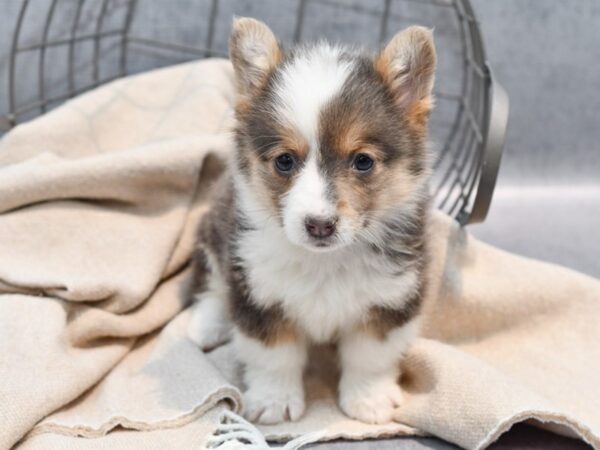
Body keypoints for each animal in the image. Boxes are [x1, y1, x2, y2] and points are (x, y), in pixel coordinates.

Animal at [188, 18, 436, 426]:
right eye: (285, 161)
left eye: (362, 161)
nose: (319, 225)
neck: (326, 262)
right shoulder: (259, 294)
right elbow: (274, 357)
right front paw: (274, 402)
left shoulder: (389, 300)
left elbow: (369, 358)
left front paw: (368, 400)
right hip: (214, 237)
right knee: (213, 287)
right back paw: (206, 326)